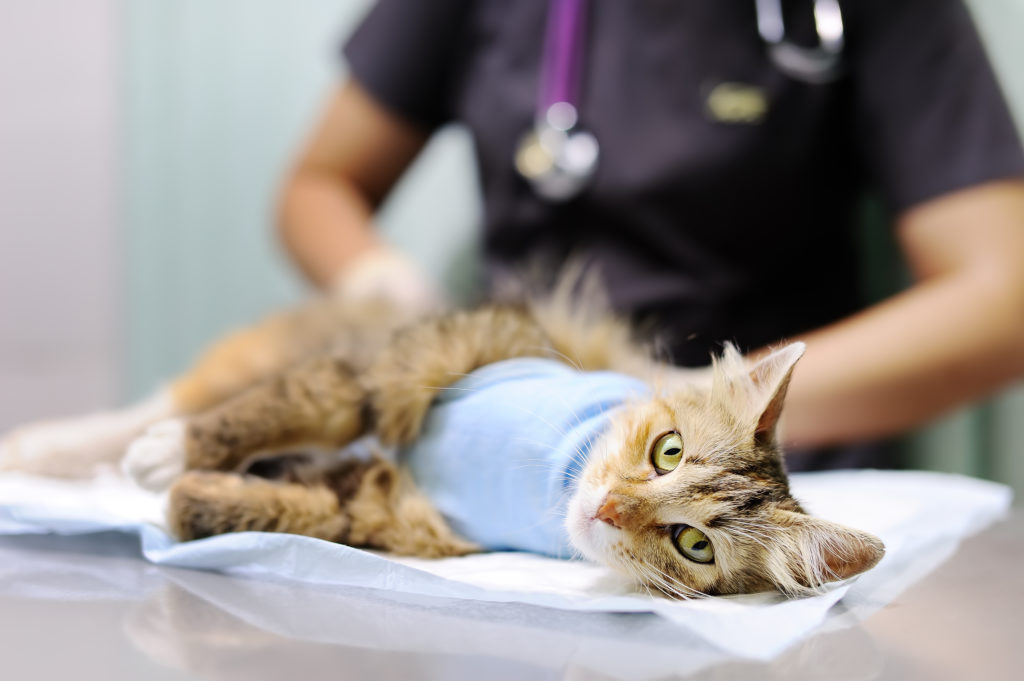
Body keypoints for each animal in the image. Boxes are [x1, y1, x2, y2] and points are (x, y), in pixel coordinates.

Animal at [0, 278, 880, 593]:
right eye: (667, 450)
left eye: (693, 543)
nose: (606, 510)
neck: (550, 472)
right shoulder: (403, 370)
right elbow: (282, 409)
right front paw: (174, 455)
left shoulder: (392, 514)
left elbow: (287, 509)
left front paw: (193, 495)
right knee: (159, 403)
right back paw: (54, 449)